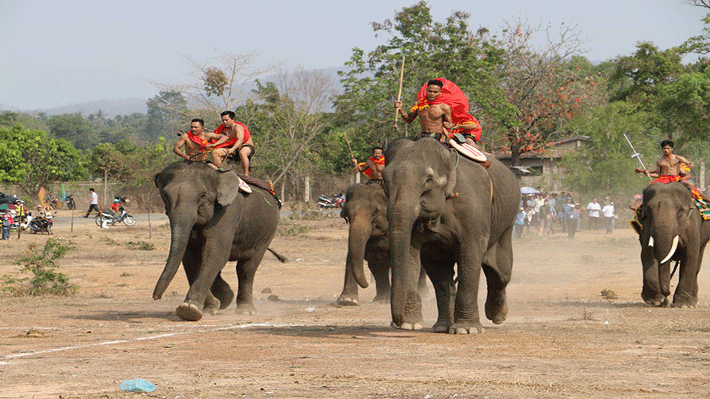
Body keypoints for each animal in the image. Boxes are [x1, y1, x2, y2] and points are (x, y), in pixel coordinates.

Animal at [153, 162, 284, 322]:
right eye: (165, 195)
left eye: (202, 196)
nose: (156, 297)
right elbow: (191, 258)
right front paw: (213, 305)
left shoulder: (228, 212)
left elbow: (216, 252)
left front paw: (189, 310)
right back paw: (226, 299)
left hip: (268, 230)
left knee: (247, 268)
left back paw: (246, 311)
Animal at [384, 138, 524, 334]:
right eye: (384, 180)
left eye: (428, 180)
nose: (396, 321)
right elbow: (416, 257)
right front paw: (410, 325)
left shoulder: (472, 211)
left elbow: (470, 254)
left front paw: (467, 330)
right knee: (444, 273)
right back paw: (442, 326)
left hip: (507, 219)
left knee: (500, 271)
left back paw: (497, 316)